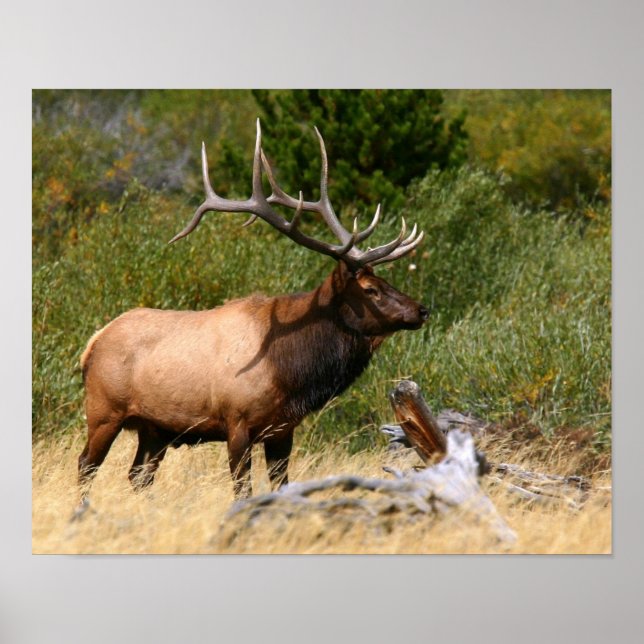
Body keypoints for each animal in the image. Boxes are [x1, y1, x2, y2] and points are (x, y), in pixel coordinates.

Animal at [75, 119, 428, 516]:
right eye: (370, 289)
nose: (421, 310)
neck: (289, 370)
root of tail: (92, 343)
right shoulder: (237, 422)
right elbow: (243, 491)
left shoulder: (282, 429)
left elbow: (282, 486)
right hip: (103, 410)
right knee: (86, 465)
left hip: (154, 428)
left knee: (138, 476)